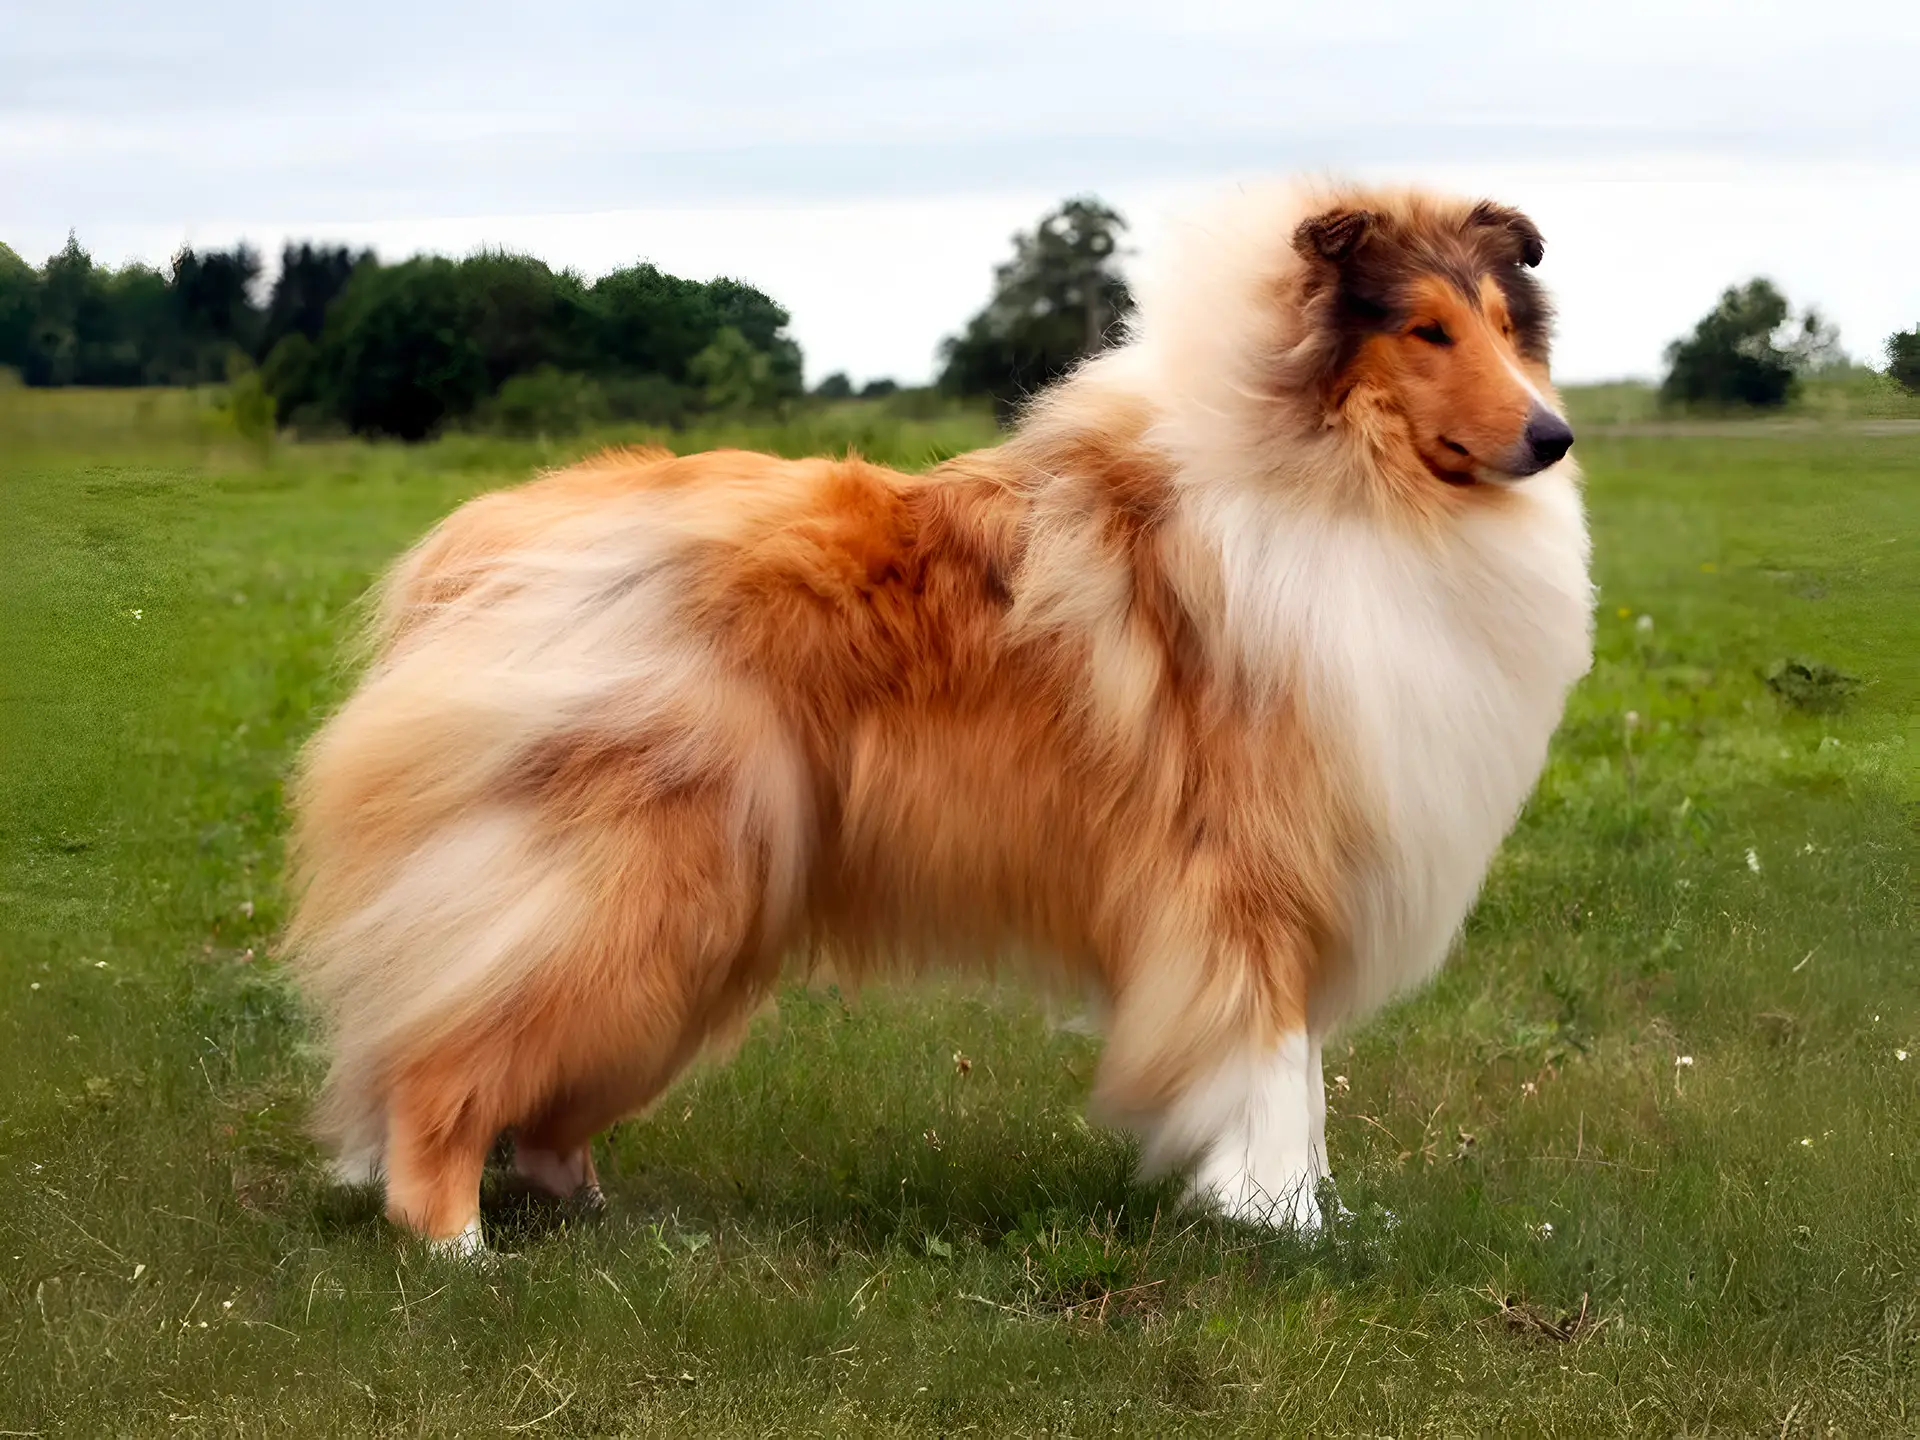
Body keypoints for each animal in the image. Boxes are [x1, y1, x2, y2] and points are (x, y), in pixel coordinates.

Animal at [288, 186, 1589, 1259]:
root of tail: (490, 540)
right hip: (622, 888)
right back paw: (456, 1245)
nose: (1553, 437)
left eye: (1502, 324)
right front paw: (1277, 1226)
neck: (1347, 484)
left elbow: (1303, 1081)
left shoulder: (1302, 881)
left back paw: (592, 1209)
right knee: (437, 1066)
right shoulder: (1248, 882)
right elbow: (1269, 1068)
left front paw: (1309, 1215)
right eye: (1426, 332)